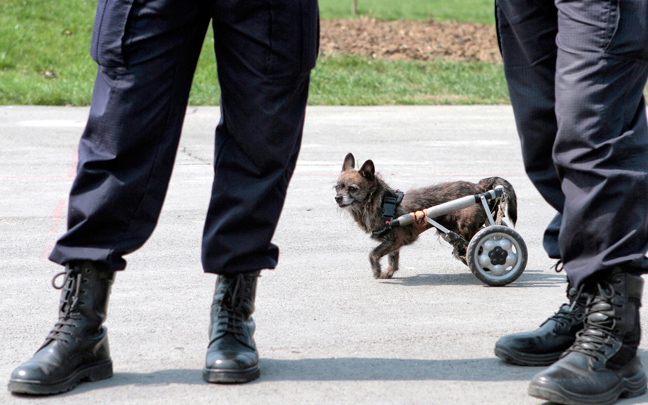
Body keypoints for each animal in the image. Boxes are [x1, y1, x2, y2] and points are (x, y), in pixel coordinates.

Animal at [334, 152, 516, 278]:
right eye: (337, 187)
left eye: (352, 189)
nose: (337, 198)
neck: (380, 203)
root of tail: (479, 188)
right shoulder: (393, 243)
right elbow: (393, 259)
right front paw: (389, 272)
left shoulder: (393, 240)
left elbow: (373, 254)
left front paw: (377, 271)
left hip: (465, 227)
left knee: (477, 242)